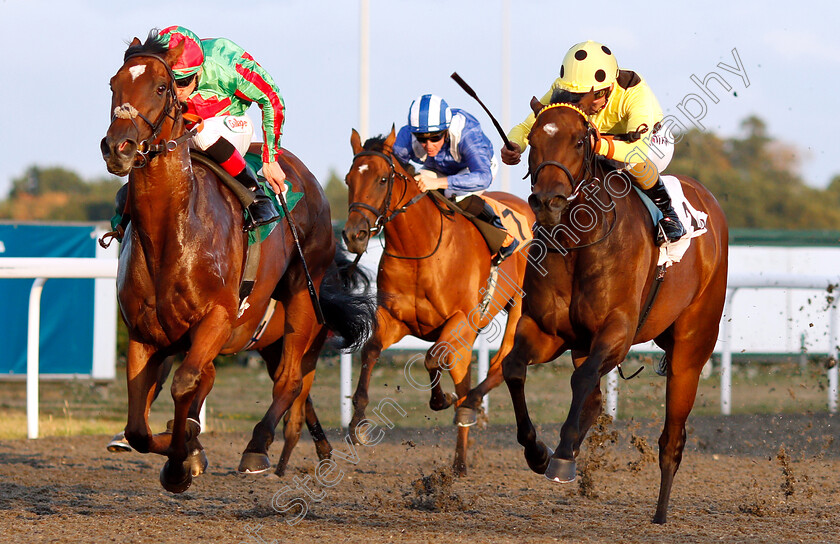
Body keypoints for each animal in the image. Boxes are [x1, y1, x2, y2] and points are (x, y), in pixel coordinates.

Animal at [99, 36, 374, 490]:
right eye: (112, 85)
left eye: (161, 87)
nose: (118, 147)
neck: (171, 233)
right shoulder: (143, 333)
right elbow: (139, 426)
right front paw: (183, 448)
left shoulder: (218, 317)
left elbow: (186, 382)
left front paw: (180, 461)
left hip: (302, 295)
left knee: (290, 380)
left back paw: (258, 448)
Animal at [340, 126, 532, 472]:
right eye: (349, 179)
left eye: (382, 180)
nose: (354, 235)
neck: (421, 248)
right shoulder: (394, 318)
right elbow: (371, 350)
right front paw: (357, 424)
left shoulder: (460, 320)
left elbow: (432, 357)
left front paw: (442, 400)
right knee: (466, 378)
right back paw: (461, 453)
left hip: (517, 310)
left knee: (499, 364)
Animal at [502, 94, 732, 524]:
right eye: (533, 140)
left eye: (579, 142)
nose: (548, 201)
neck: (577, 240)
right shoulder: (547, 330)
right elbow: (514, 368)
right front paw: (539, 451)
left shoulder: (618, 331)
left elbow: (582, 380)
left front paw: (562, 456)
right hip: (583, 343)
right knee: (591, 396)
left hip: (691, 350)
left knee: (672, 438)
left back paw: (660, 514)